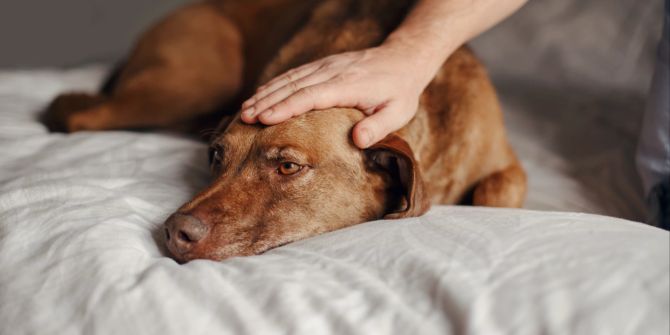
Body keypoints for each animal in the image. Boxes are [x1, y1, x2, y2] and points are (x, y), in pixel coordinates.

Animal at [43, 0, 532, 262]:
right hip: (190, 83)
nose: (174, 231)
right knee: (78, 114)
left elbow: (497, 190)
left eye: (288, 167)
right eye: (216, 156)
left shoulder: (507, 165)